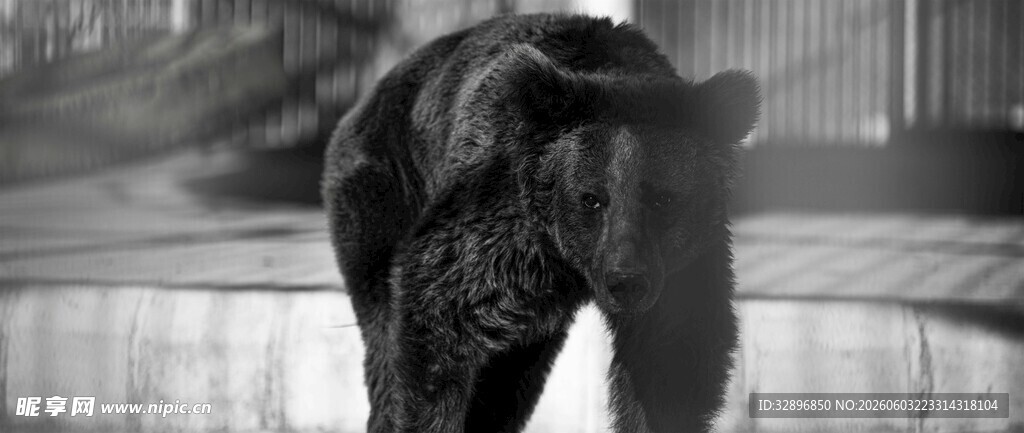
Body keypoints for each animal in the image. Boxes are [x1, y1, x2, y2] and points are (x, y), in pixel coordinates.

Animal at [321, 13, 759, 433]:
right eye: (591, 198)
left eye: (662, 198)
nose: (626, 280)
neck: (571, 266)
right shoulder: (504, 224)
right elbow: (439, 313)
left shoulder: (684, 265)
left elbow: (671, 362)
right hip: (385, 192)